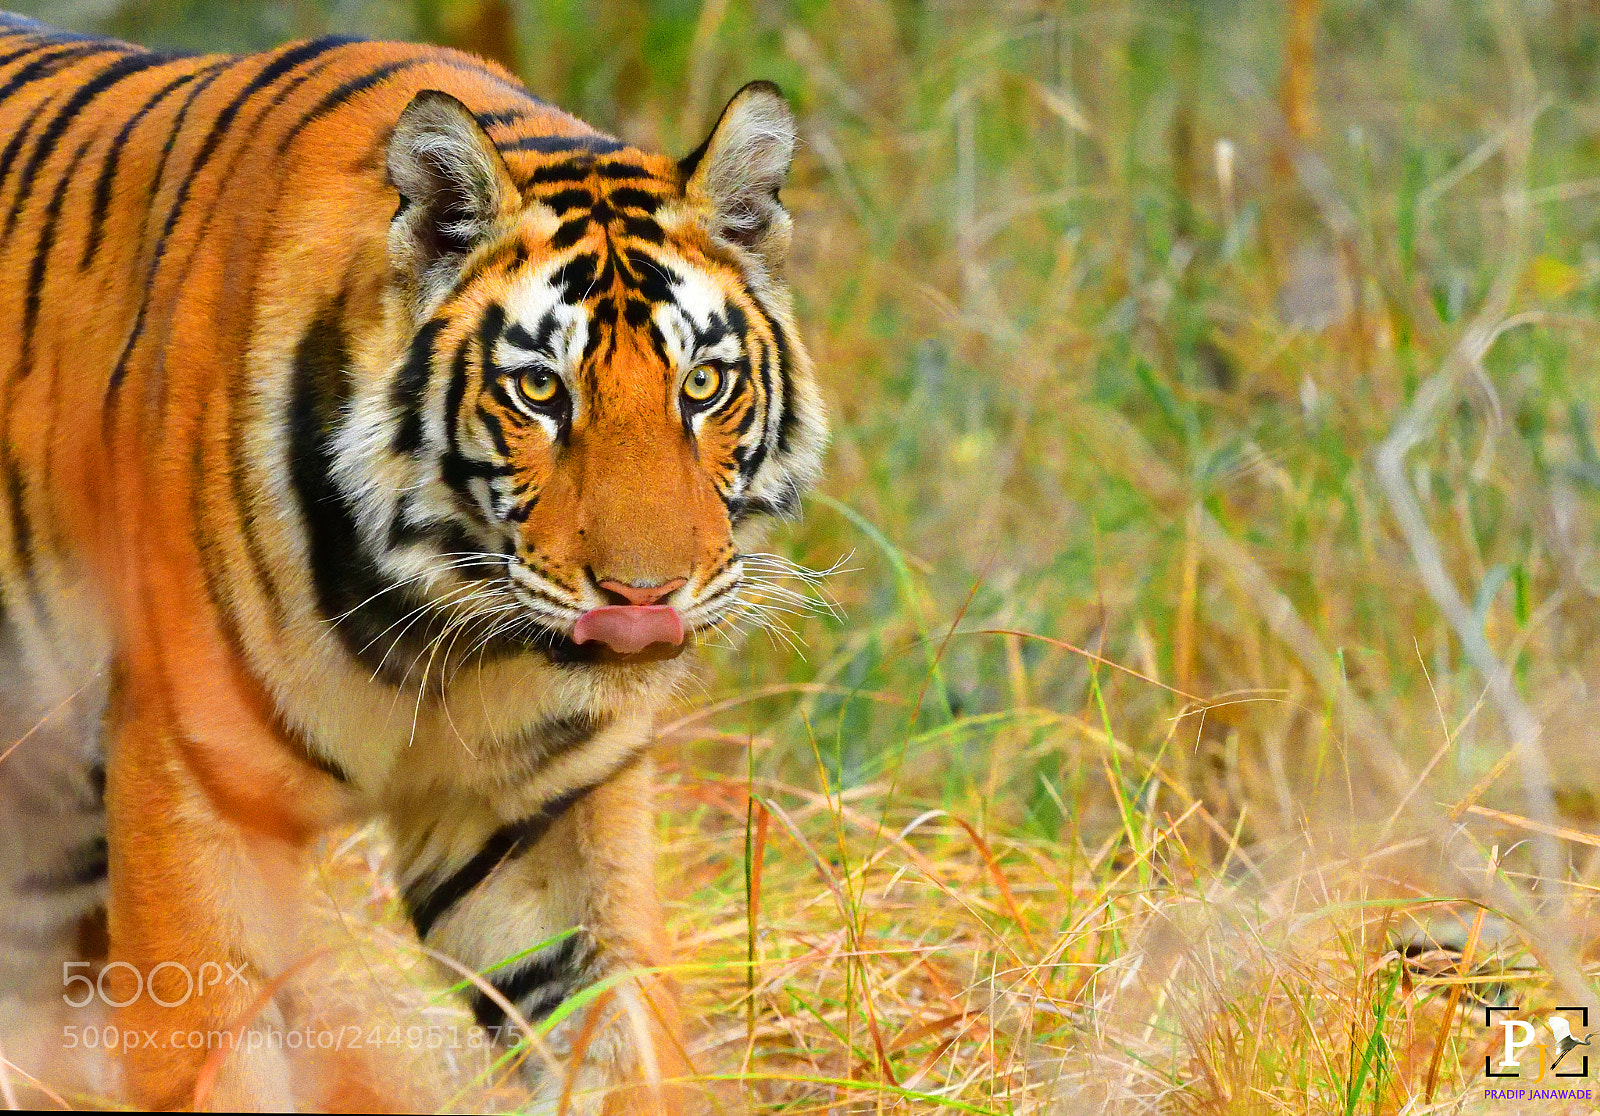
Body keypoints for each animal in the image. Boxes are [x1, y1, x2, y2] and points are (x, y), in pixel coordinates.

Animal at [0, 11, 825, 1112]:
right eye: (539, 392)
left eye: (702, 386)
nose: (644, 596)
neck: (439, 626)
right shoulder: (190, 794)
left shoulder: (539, 819)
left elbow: (612, 1046)